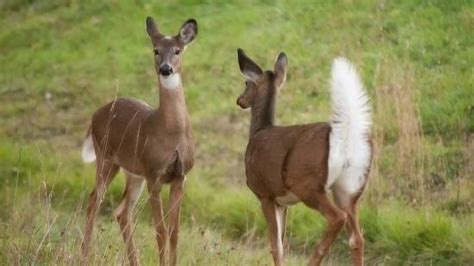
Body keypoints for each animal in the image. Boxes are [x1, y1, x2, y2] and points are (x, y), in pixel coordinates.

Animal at [80, 17, 197, 266]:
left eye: (177, 50)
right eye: (155, 50)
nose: (165, 68)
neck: (171, 133)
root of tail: (95, 115)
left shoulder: (180, 176)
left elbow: (174, 232)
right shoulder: (154, 173)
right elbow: (160, 231)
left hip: (133, 172)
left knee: (122, 212)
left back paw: (134, 260)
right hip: (106, 157)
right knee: (95, 200)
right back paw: (83, 255)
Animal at [235, 48, 372, 266]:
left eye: (246, 83)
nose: (239, 100)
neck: (258, 131)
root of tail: (345, 137)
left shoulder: (265, 193)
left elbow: (276, 246)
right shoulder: (283, 203)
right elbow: (282, 244)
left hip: (308, 185)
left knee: (337, 218)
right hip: (349, 188)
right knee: (357, 238)